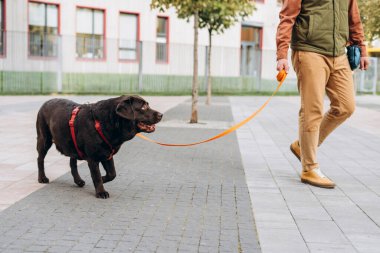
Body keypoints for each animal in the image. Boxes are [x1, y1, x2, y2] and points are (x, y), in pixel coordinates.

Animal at [36, 95, 164, 198]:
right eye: (143, 107)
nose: (161, 115)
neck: (104, 123)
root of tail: (46, 102)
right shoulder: (93, 158)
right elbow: (96, 175)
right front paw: (101, 191)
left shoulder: (107, 153)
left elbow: (112, 174)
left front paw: (103, 179)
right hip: (44, 139)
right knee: (40, 158)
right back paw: (42, 178)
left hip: (72, 144)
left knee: (72, 163)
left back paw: (78, 181)